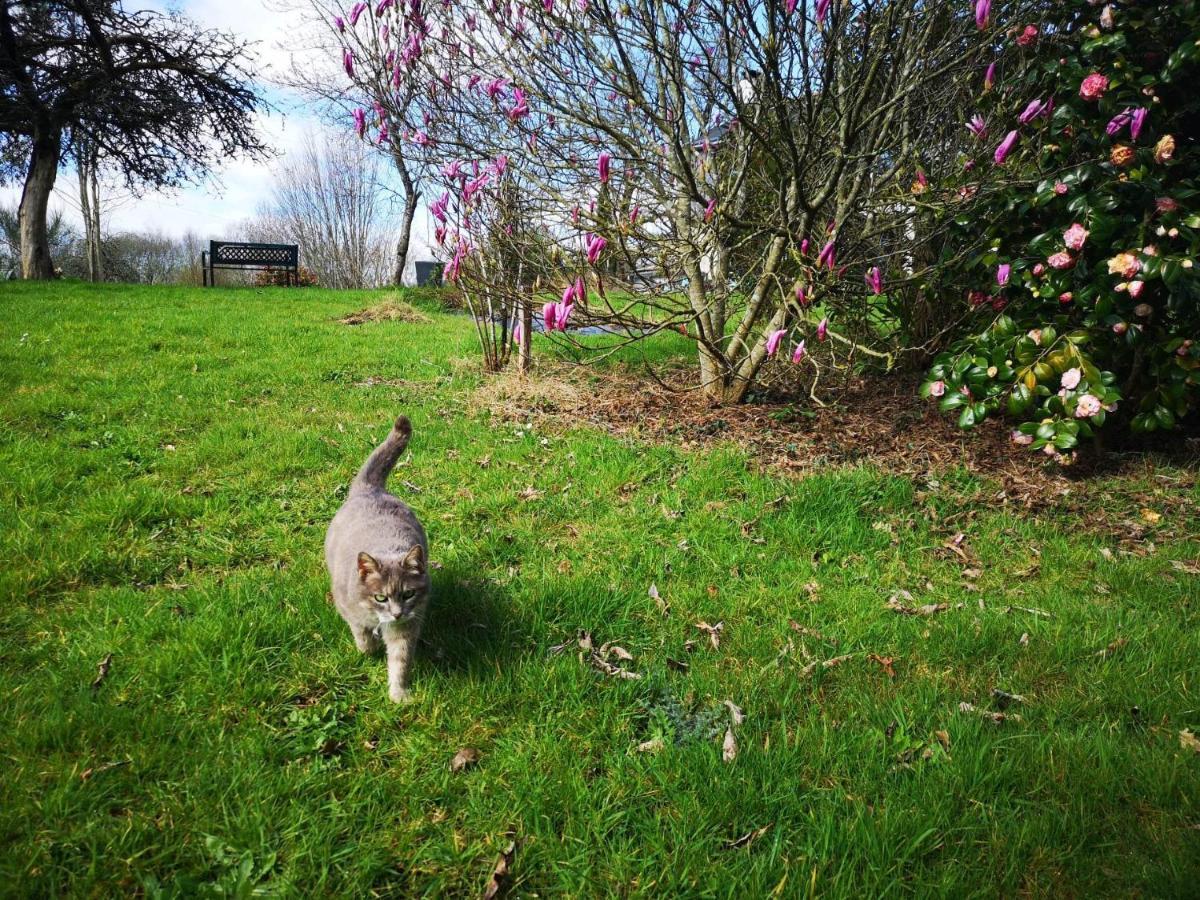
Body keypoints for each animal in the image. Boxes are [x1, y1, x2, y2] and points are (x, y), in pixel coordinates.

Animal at [326, 415, 429, 705]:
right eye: (380, 597)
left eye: (408, 594)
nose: (396, 613)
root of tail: (370, 489)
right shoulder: (348, 609)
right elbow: (361, 634)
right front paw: (368, 649)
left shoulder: (407, 626)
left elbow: (400, 660)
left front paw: (398, 693)